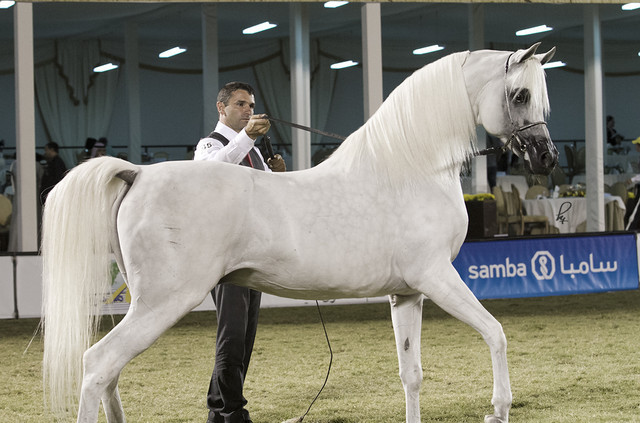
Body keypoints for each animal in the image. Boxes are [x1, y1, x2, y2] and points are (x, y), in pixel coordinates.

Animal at [41, 43, 557, 423]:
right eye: (519, 95)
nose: (546, 157)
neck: (410, 168)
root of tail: (138, 174)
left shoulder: (408, 294)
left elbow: (411, 372)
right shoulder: (438, 278)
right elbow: (496, 334)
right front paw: (499, 409)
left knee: (109, 374)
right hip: (161, 304)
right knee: (97, 365)